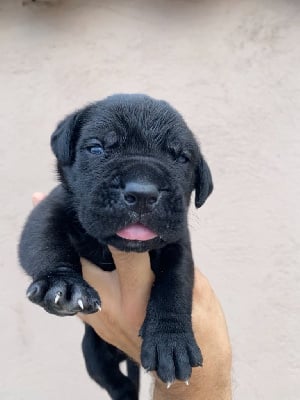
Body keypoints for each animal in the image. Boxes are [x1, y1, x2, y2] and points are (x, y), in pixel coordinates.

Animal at [18, 93, 213, 396]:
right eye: (96, 148)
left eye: (182, 158)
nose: (142, 193)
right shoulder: (49, 212)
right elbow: (47, 244)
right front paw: (63, 283)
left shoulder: (177, 245)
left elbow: (174, 284)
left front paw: (171, 340)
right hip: (93, 352)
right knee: (114, 381)